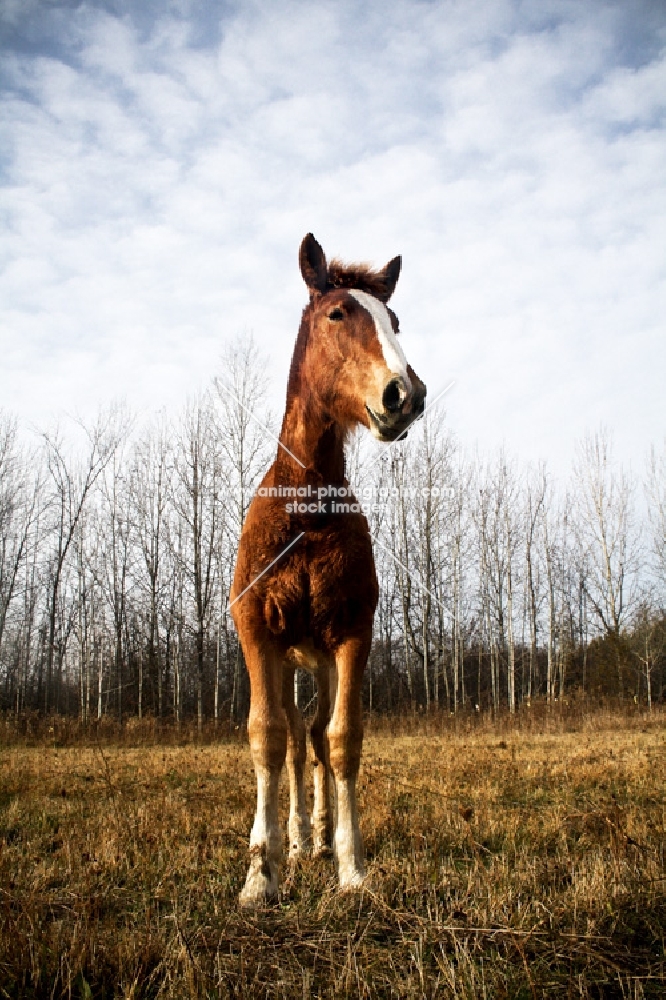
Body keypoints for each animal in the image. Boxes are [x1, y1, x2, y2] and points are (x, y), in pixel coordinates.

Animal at [228, 232, 426, 908]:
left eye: (395, 321)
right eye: (338, 314)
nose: (404, 394)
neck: (308, 514)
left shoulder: (351, 636)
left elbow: (340, 740)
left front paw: (351, 865)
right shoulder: (257, 633)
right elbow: (267, 737)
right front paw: (260, 875)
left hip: (318, 658)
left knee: (312, 736)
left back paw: (315, 839)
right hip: (292, 658)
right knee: (292, 740)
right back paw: (293, 844)